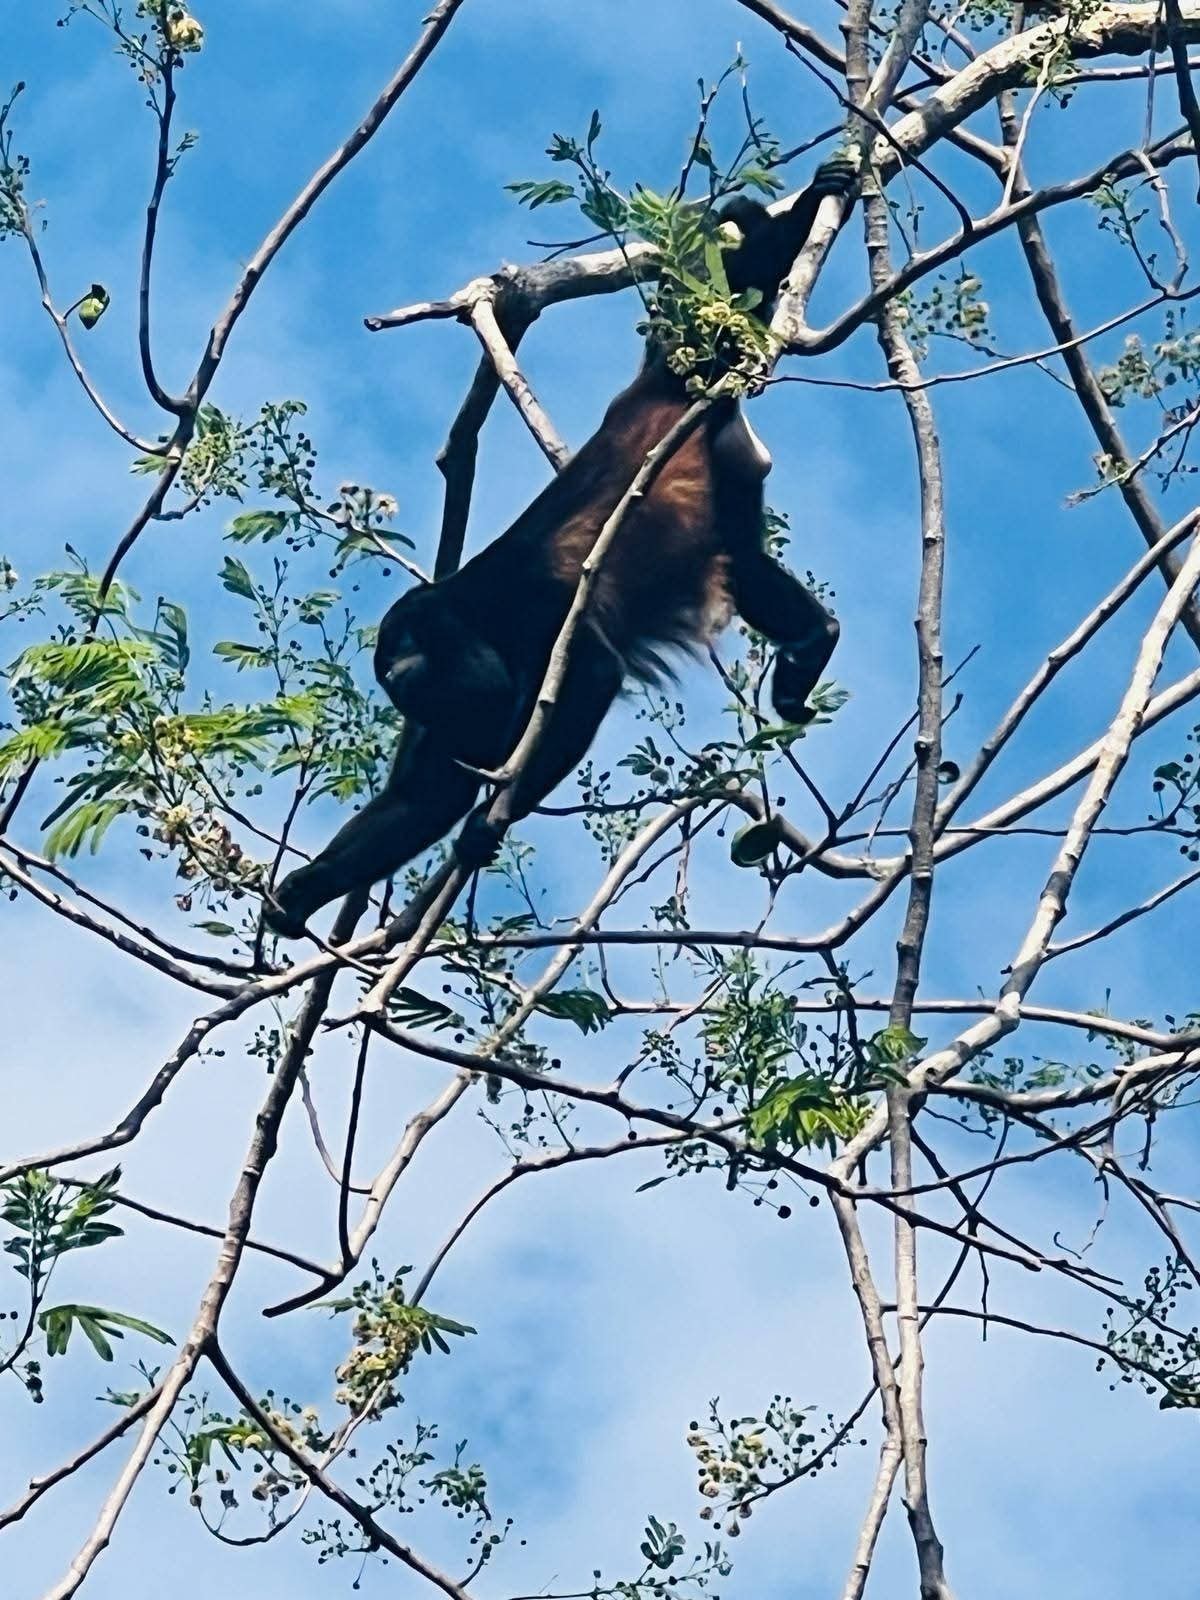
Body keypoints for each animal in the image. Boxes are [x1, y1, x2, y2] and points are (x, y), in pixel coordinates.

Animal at [263, 157, 854, 939]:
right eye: (387, 668)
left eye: (409, 646)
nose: (398, 675)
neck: (470, 615)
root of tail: (651, 393)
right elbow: (428, 793)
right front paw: (305, 888)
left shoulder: (529, 608)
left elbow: (589, 674)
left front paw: (489, 824)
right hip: (725, 463)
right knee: (743, 563)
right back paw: (813, 642)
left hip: (704, 380)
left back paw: (815, 201)